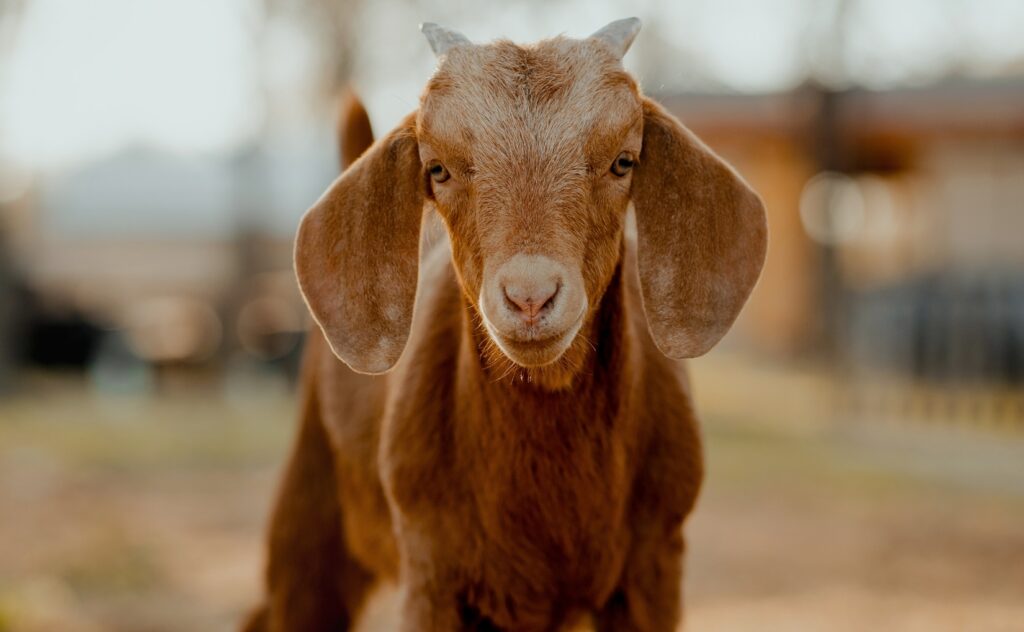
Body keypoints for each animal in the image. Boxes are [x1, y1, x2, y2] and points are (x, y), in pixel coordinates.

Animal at [241, 18, 770, 630]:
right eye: (438, 170)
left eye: (623, 161)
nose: (531, 297)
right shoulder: (430, 573)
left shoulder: (655, 569)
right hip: (308, 520)